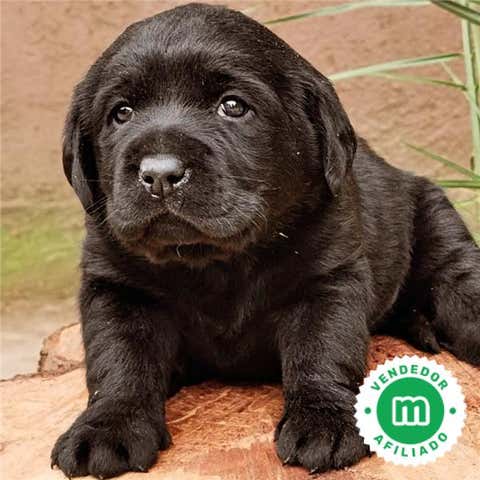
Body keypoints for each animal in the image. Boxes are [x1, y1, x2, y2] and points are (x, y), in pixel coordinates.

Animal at [51, 3, 480, 478]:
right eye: (121, 113)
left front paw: (324, 422)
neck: (215, 263)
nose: (159, 174)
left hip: (438, 227)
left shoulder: (327, 279)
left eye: (233, 106)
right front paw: (108, 427)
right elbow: (120, 360)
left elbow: (323, 348)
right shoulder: (117, 289)